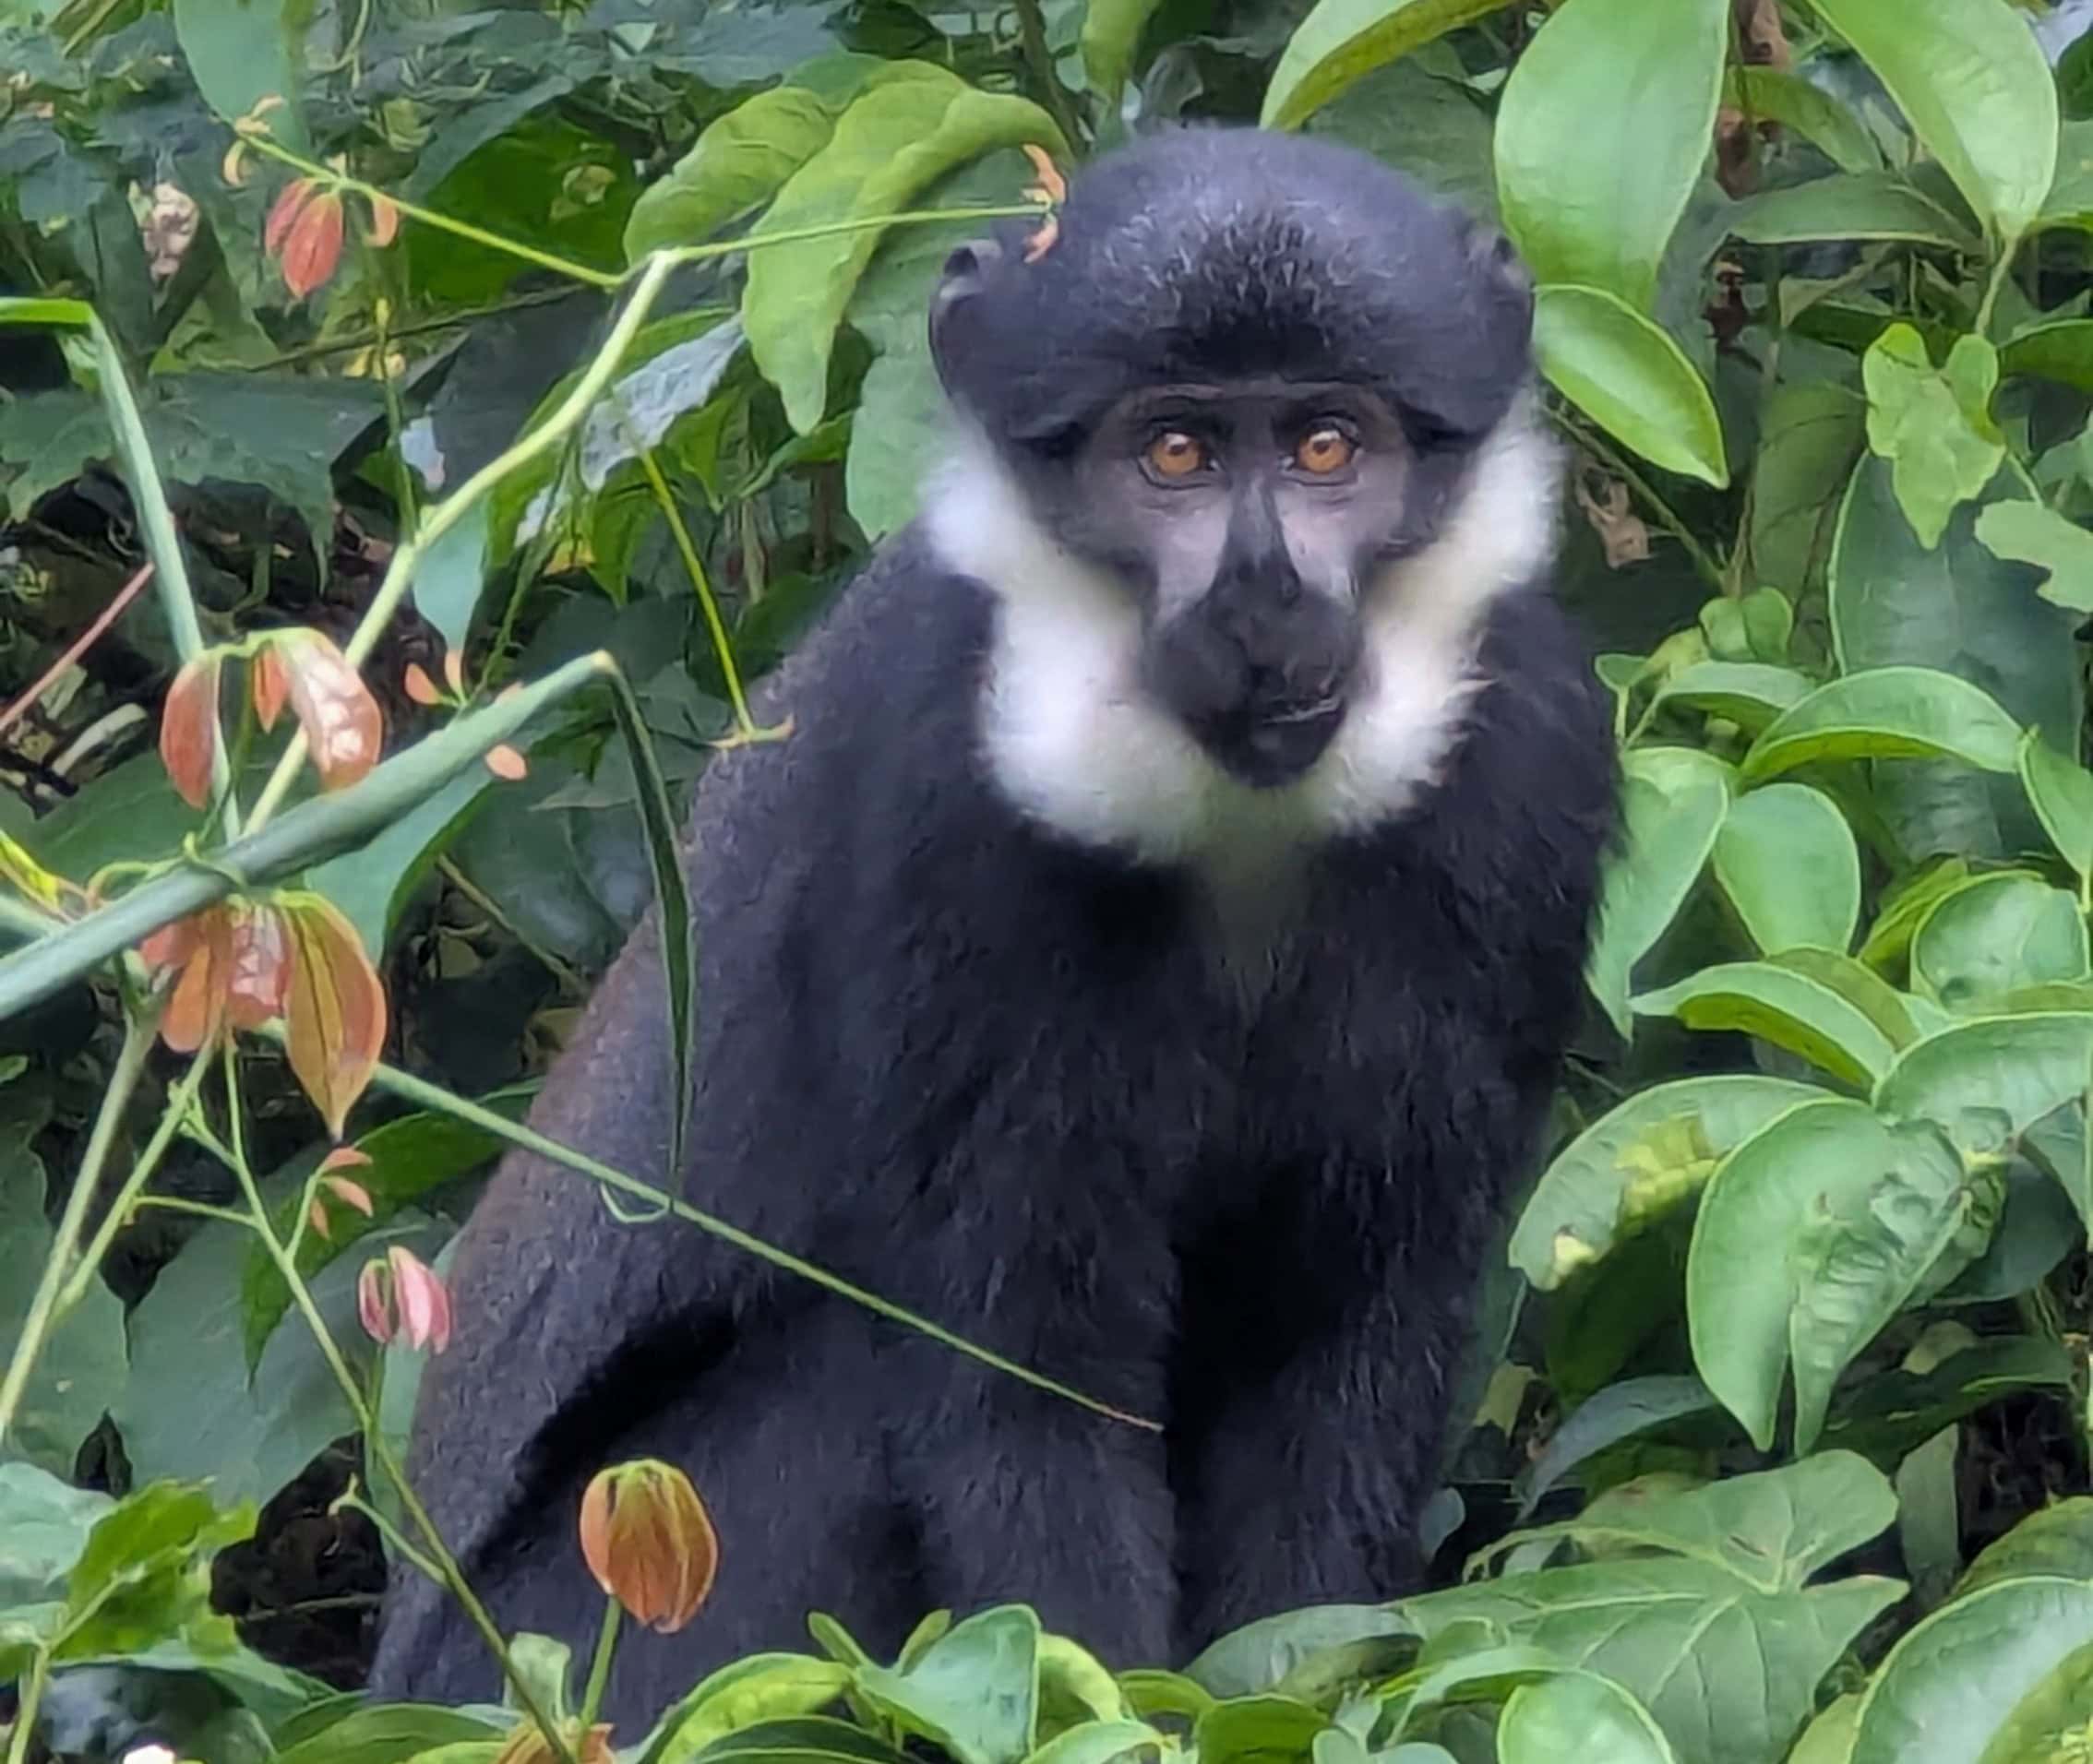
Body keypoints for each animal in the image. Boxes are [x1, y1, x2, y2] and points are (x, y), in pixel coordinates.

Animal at [368, 125, 1617, 1726]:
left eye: (1329, 447)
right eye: (1173, 454)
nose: (1265, 594)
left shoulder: (1532, 768)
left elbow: (1355, 1337)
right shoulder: (940, 813)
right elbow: (1016, 1370)